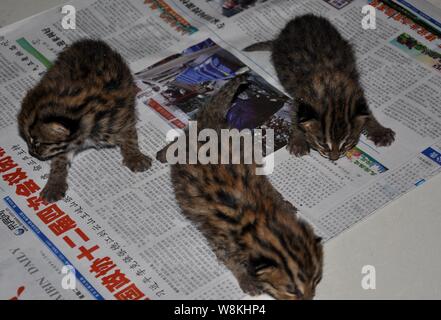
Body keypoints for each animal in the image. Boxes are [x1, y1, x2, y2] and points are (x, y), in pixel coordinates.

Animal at [18, 38, 151, 201]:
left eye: (36, 142)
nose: (31, 152)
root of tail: (90, 42)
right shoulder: (66, 144)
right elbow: (59, 161)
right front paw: (55, 184)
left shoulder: (122, 117)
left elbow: (130, 137)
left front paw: (135, 156)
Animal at [156, 75, 322, 300]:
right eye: (291, 290)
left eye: (316, 280)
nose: (309, 299)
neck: (261, 219)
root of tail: (209, 123)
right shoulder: (222, 237)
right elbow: (230, 259)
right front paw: (245, 278)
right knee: (178, 142)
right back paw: (164, 152)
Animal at [244, 14, 396, 161]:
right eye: (323, 144)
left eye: (346, 143)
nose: (334, 159)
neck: (334, 94)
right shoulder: (301, 97)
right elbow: (295, 117)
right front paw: (298, 141)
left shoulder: (356, 92)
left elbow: (368, 114)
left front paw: (379, 131)